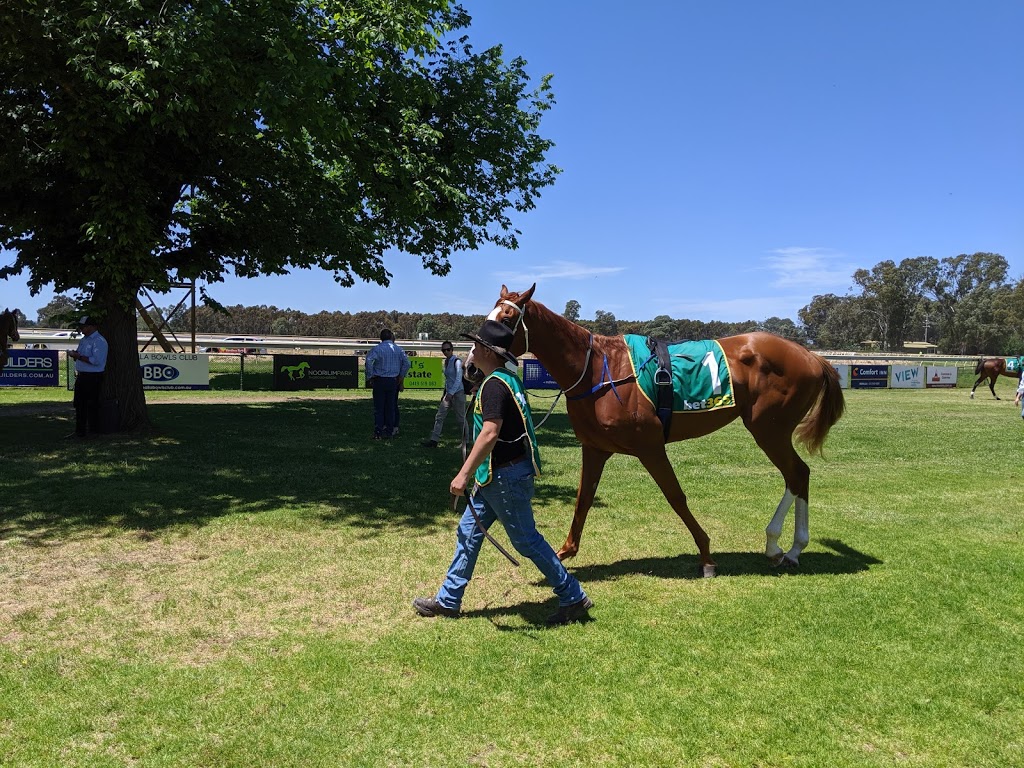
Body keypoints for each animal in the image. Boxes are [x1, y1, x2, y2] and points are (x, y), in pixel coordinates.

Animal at [483, 288, 843, 577]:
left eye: (505, 319)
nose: (475, 363)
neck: (599, 371)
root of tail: (812, 356)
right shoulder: (595, 448)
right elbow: (583, 498)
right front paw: (564, 552)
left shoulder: (650, 446)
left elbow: (675, 496)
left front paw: (706, 555)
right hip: (770, 430)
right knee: (797, 475)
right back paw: (783, 547)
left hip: (769, 429)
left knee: (797, 473)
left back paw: (787, 548)